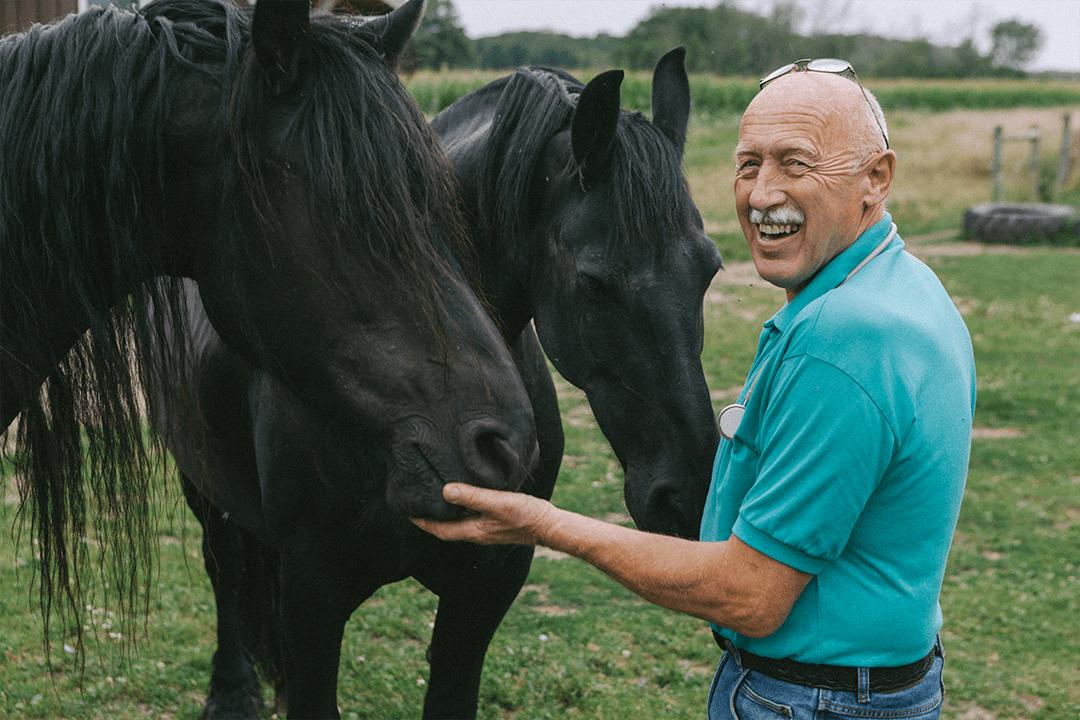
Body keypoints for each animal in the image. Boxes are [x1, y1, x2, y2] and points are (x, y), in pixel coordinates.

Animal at [168, 46, 721, 720]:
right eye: (594, 282)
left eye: (710, 268)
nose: (688, 495)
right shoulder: (312, 592)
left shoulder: (487, 583)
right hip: (202, 485)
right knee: (224, 572)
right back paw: (231, 691)